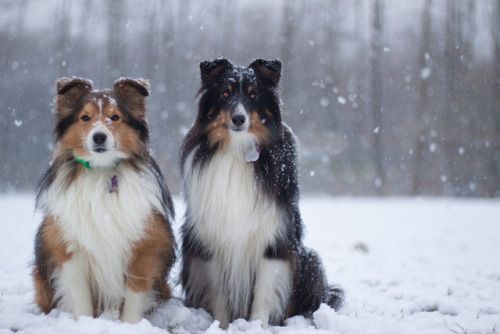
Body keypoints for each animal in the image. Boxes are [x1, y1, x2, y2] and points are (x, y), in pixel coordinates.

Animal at [32, 77, 175, 322]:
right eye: (85, 117)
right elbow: (80, 298)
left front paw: (130, 325)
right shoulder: (70, 248)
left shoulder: (144, 247)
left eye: (115, 117)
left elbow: (135, 296)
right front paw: (84, 323)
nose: (99, 136)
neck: (102, 171)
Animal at [180, 58, 344, 328]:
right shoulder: (211, 239)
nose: (238, 119)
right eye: (225, 93)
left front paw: (257, 327)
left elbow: (263, 293)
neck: (238, 150)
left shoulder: (273, 239)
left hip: (310, 260)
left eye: (253, 95)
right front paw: (222, 327)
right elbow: (218, 293)